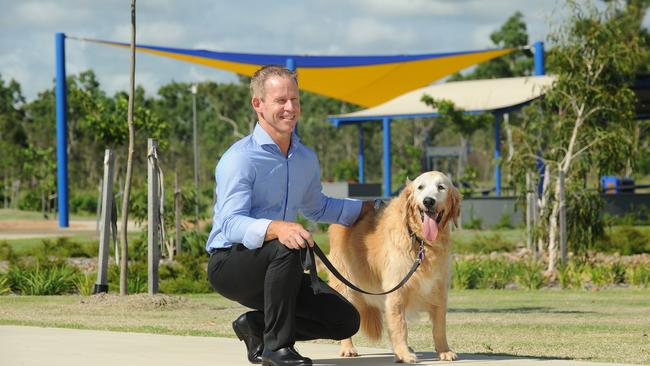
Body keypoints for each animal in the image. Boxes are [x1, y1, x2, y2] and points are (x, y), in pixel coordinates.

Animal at [326, 172, 458, 364]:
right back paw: (348, 348)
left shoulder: (440, 290)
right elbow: (400, 326)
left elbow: (439, 327)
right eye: (420, 187)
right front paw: (404, 353)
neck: (421, 242)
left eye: (441, 187)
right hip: (345, 285)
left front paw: (444, 351)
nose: (428, 201)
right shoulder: (397, 291)